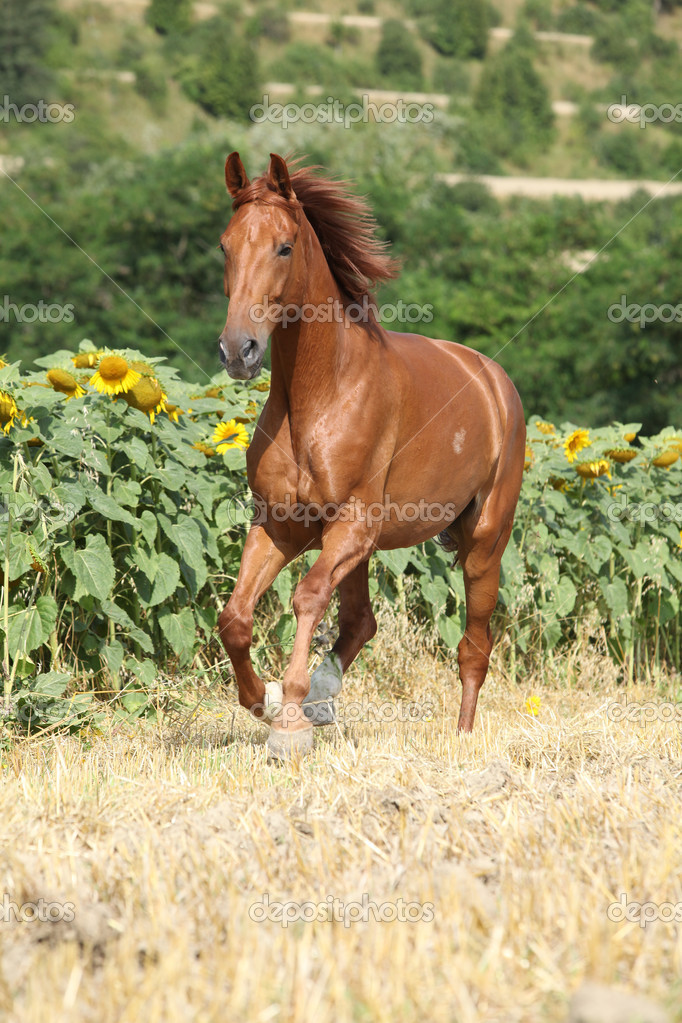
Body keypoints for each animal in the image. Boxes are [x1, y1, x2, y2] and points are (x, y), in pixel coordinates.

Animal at [215, 151, 527, 761]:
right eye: (225, 245)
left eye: (284, 246)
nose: (239, 350)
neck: (321, 394)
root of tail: (495, 382)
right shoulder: (281, 525)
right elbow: (235, 617)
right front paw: (267, 701)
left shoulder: (353, 524)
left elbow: (307, 597)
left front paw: (290, 721)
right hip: (360, 546)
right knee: (361, 621)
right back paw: (325, 695)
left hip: (483, 544)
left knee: (474, 646)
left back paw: (461, 738)